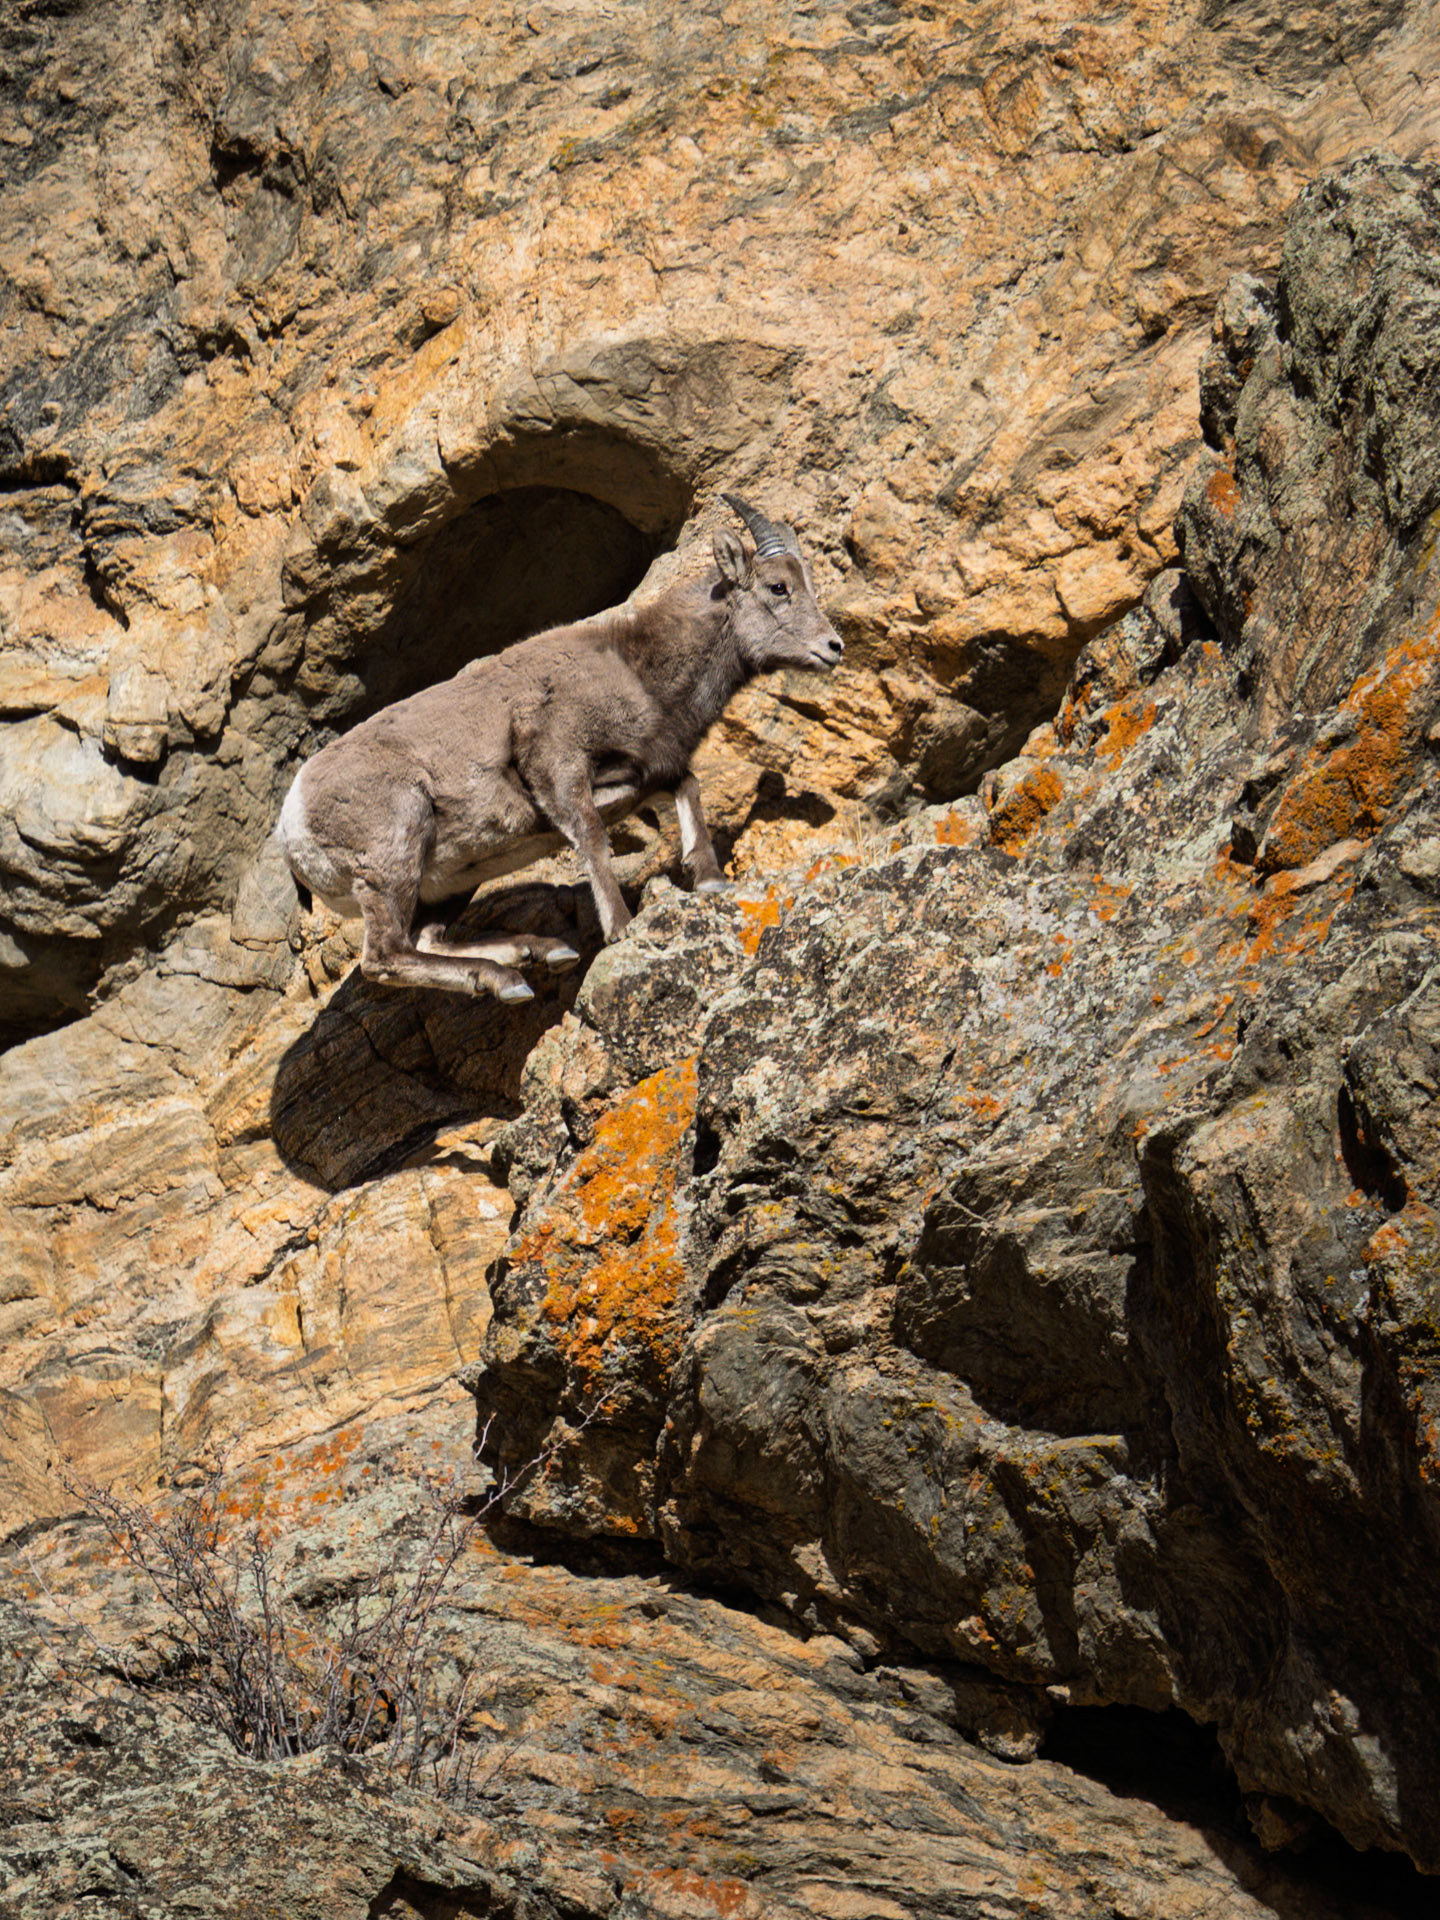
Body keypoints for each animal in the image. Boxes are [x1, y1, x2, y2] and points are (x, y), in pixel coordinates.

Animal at [275, 494, 843, 1002]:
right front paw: (623, 927)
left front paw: (710, 882)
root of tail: (292, 822)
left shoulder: (643, 773)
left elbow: (687, 789)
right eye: (778, 587)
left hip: (447, 883)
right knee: (386, 956)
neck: (639, 673)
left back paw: (538, 955)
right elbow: (591, 835)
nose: (833, 647)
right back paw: (513, 977)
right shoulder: (559, 763)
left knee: (428, 941)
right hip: (395, 860)